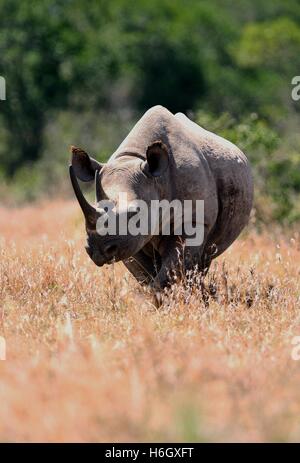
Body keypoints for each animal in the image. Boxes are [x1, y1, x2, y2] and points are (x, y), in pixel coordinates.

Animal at [69, 107, 253, 292]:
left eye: (135, 212)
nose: (98, 251)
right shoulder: (129, 240)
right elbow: (146, 275)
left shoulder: (195, 220)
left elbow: (170, 269)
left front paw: (164, 295)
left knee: (203, 260)